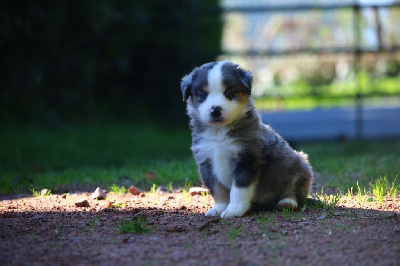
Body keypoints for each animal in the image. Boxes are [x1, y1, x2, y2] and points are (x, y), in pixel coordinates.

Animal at [180, 60, 314, 218]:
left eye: (229, 93)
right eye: (202, 94)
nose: (215, 110)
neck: (219, 133)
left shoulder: (247, 159)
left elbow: (239, 190)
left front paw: (233, 210)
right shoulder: (206, 162)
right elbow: (217, 190)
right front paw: (219, 208)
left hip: (301, 167)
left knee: (294, 193)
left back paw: (286, 202)